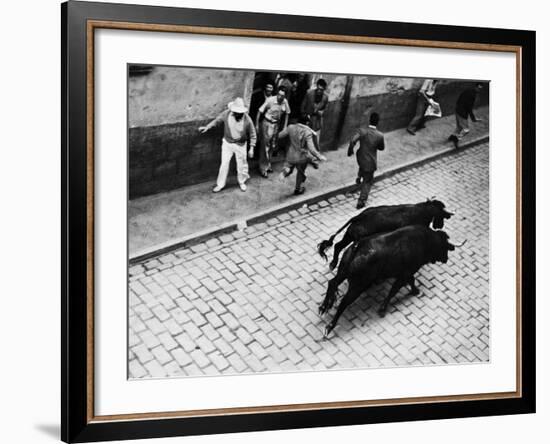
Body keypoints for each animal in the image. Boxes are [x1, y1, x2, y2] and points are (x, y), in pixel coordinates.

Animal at [320, 225, 466, 336]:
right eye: (444, 246)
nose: (446, 259)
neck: (424, 241)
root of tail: (358, 246)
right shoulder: (405, 273)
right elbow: (394, 290)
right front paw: (383, 309)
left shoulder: (406, 273)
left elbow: (411, 281)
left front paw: (415, 291)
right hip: (358, 285)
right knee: (344, 302)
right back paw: (330, 326)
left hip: (342, 272)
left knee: (332, 283)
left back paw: (323, 307)